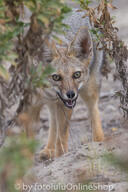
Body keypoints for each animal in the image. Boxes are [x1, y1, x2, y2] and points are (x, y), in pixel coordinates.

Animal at [19, 9, 105, 160]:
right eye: (56, 77)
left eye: (76, 75)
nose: (71, 94)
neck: (45, 91)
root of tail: (76, 10)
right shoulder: (29, 108)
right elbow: (27, 143)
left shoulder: (65, 106)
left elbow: (62, 137)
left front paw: (60, 157)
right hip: (53, 105)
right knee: (53, 121)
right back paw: (48, 149)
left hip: (89, 91)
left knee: (94, 111)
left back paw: (98, 140)